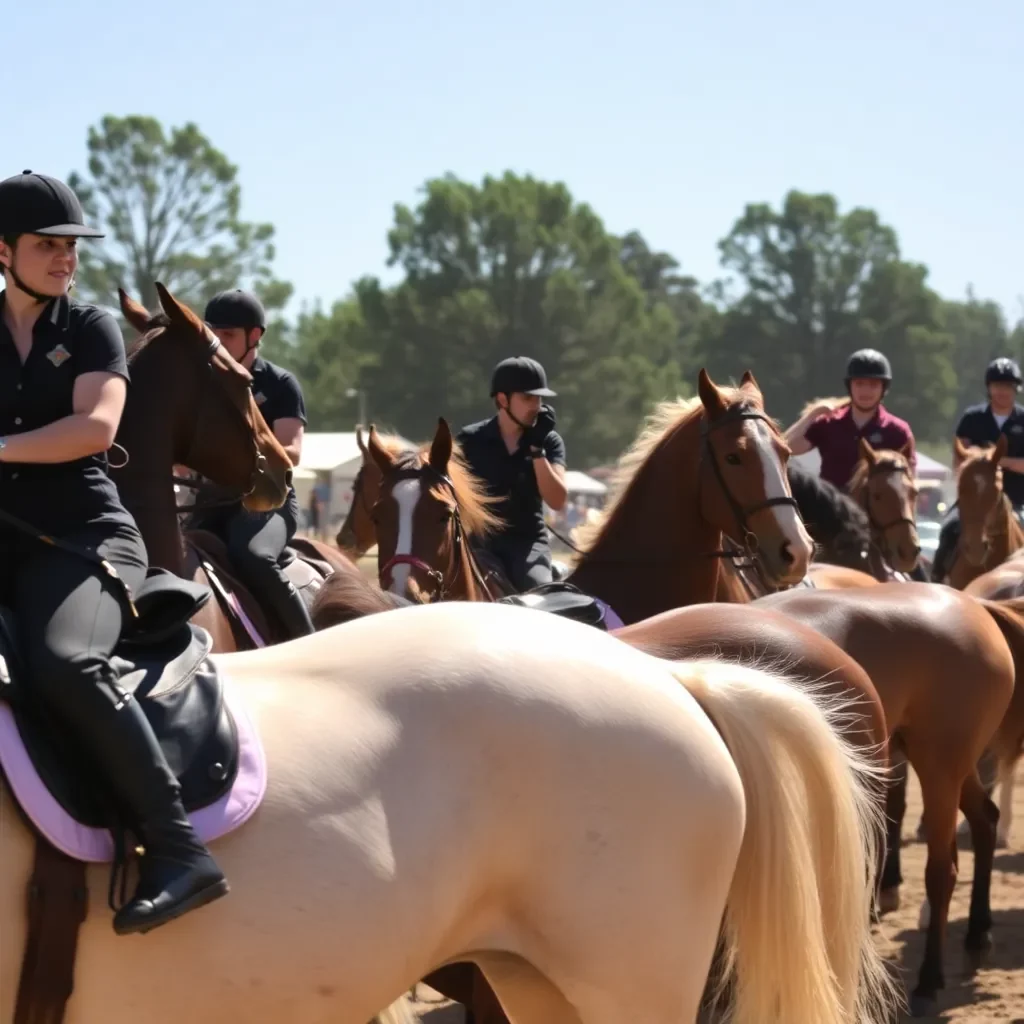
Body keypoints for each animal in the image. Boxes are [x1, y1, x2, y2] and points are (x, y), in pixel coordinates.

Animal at [757, 581, 1011, 1019]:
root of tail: (973, 606)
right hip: (951, 762)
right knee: (985, 820)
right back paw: (977, 937)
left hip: (940, 764)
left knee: (942, 872)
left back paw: (928, 983)